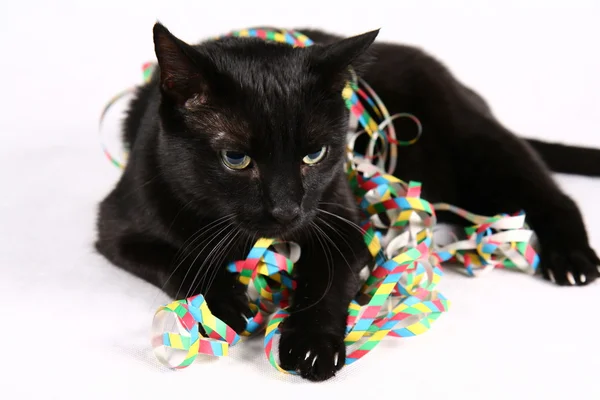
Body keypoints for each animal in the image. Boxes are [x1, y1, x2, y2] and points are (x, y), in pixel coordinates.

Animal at [95, 23, 600, 382]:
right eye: (236, 158)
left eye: (314, 154)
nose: (286, 210)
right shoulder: (117, 227)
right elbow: (177, 259)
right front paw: (222, 302)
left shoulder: (339, 218)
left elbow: (326, 279)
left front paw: (312, 344)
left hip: (479, 146)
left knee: (551, 194)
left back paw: (572, 259)